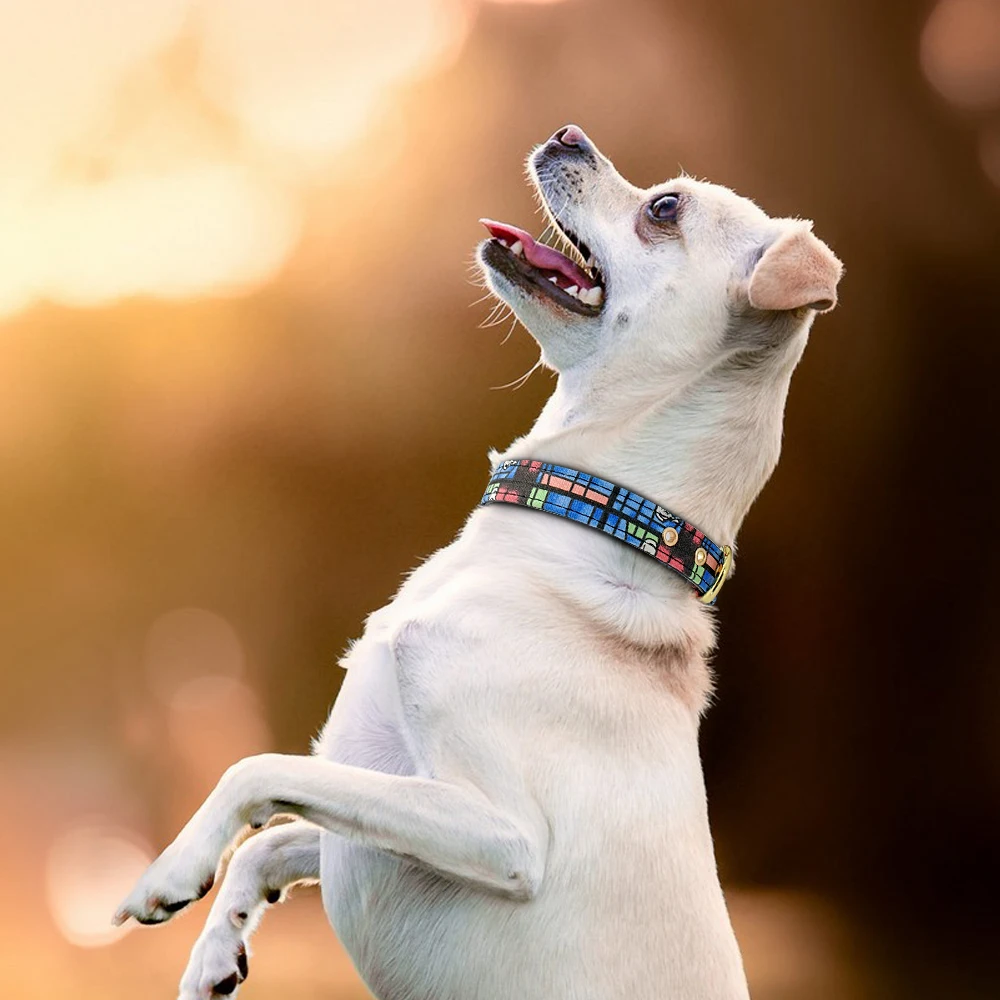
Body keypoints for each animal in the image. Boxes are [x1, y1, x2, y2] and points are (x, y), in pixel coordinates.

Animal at [113, 127, 840, 1000]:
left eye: (665, 209)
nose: (568, 134)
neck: (583, 516)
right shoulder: (383, 811)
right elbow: (284, 831)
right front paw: (216, 952)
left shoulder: (501, 835)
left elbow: (259, 769)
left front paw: (174, 871)